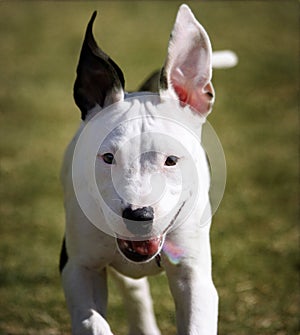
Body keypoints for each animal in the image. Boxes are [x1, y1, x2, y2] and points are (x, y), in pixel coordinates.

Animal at [59, 3, 237, 334]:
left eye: (171, 160)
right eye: (108, 158)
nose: (139, 215)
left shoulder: (193, 277)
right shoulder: (79, 267)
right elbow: (93, 322)